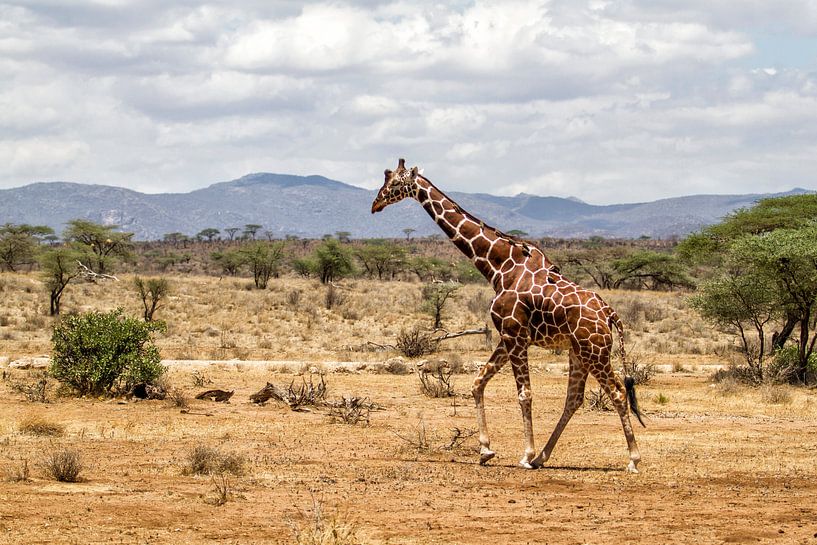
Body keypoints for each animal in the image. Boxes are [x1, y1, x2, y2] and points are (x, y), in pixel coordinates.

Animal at [371, 159, 645, 472]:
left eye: (394, 183)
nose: (375, 204)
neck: (498, 268)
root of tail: (610, 313)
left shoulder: (516, 336)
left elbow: (524, 394)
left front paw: (524, 454)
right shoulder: (506, 337)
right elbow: (477, 382)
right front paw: (485, 450)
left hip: (595, 351)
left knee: (617, 392)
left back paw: (632, 459)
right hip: (578, 351)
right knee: (574, 398)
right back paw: (543, 457)